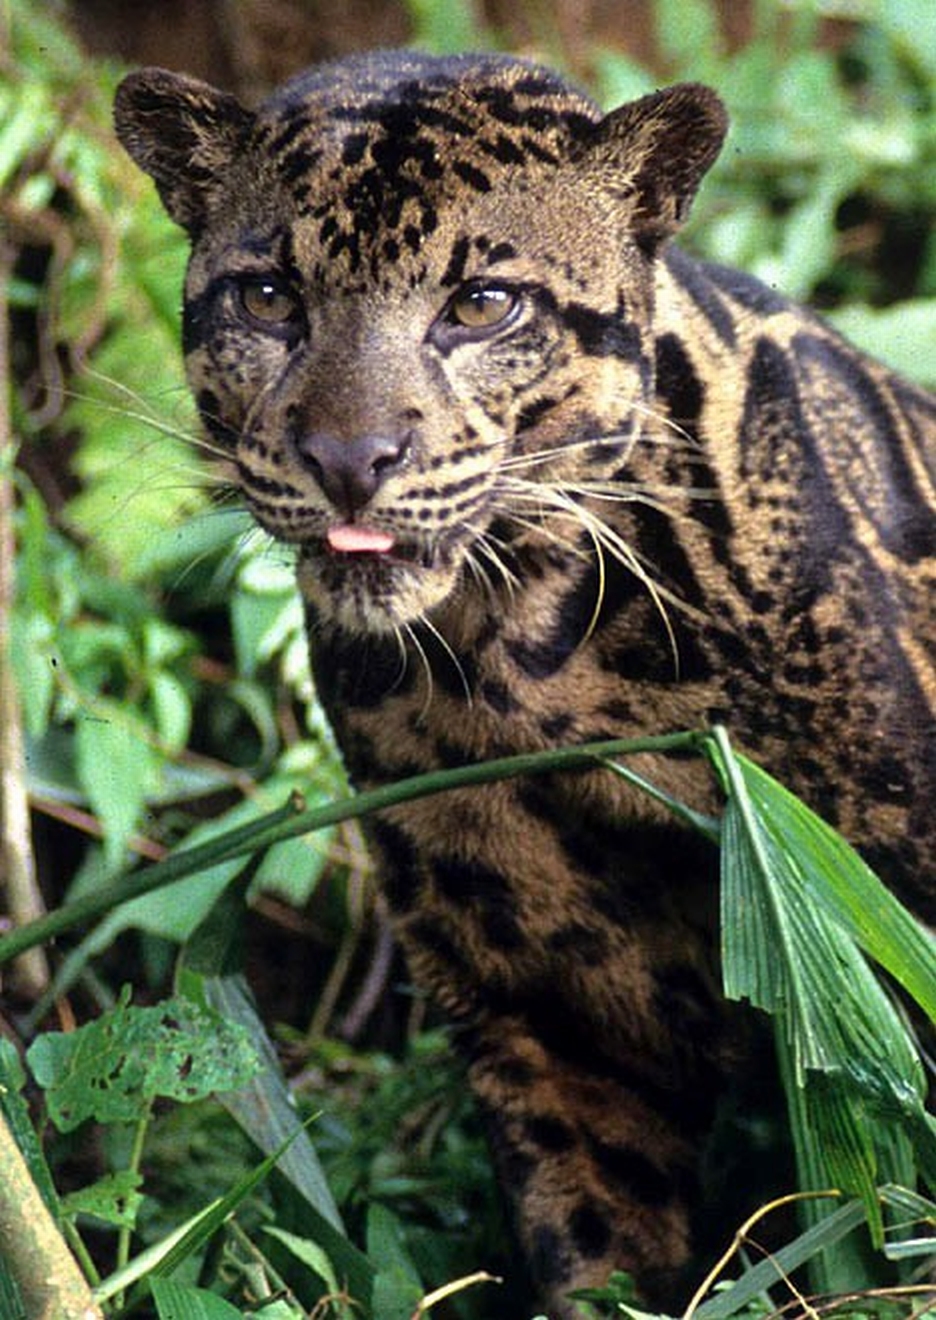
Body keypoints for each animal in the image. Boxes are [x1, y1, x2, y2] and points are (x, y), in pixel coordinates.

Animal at [114, 49, 936, 1317]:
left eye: (481, 305)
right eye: (268, 298)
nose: (350, 461)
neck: (529, 658)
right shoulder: (557, 1013)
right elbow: (598, 1247)